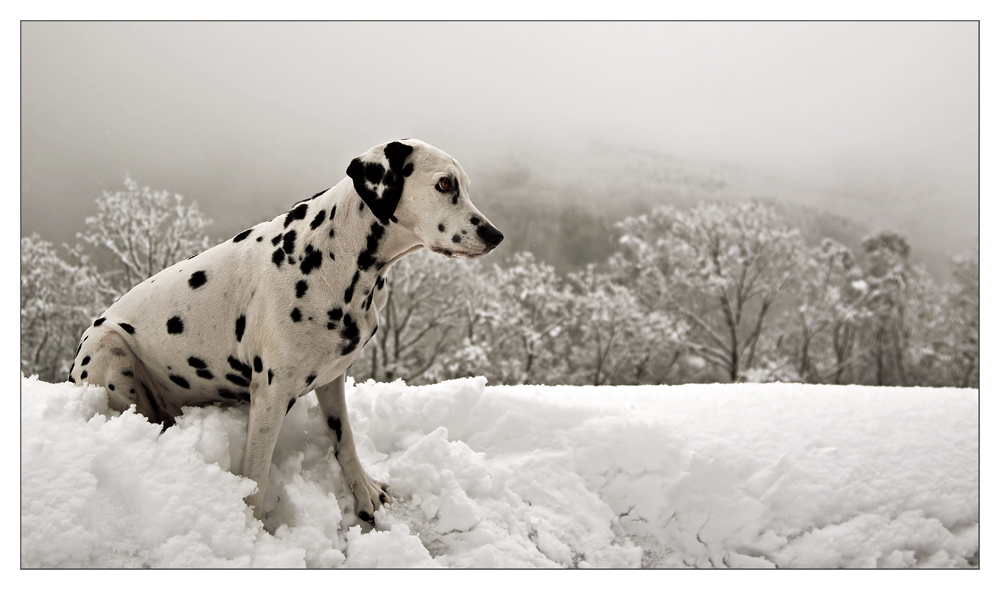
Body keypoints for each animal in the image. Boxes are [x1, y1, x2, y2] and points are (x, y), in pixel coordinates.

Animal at [67, 140, 504, 528]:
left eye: (464, 185)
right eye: (444, 184)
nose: (495, 235)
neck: (339, 257)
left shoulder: (332, 379)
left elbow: (345, 441)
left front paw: (363, 493)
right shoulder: (270, 397)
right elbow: (256, 479)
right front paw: (255, 534)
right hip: (108, 347)